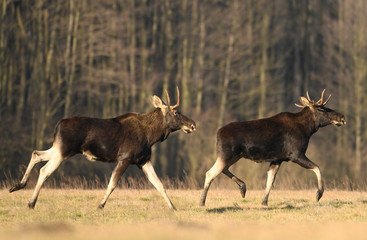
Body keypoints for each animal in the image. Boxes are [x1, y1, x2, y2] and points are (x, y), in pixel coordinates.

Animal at [10, 87, 197, 209]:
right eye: (176, 112)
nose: (193, 125)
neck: (151, 136)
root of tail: (57, 126)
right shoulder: (125, 158)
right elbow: (112, 184)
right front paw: (100, 205)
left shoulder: (143, 161)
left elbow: (159, 184)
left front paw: (173, 207)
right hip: (64, 151)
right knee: (44, 170)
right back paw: (31, 202)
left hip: (58, 149)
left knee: (36, 154)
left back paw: (17, 186)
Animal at [200, 90, 346, 206]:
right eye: (323, 109)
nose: (342, 118)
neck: (308, 130)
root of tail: (217, 133)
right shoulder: (296, 154)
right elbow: (317, 168)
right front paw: (319, 194)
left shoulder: (277, 159)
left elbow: (270, 181)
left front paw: (264, 202)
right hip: (226, 154)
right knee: (210, 173)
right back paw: (202, 202)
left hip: (236, 155)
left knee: (223, 169)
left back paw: (243, 187)